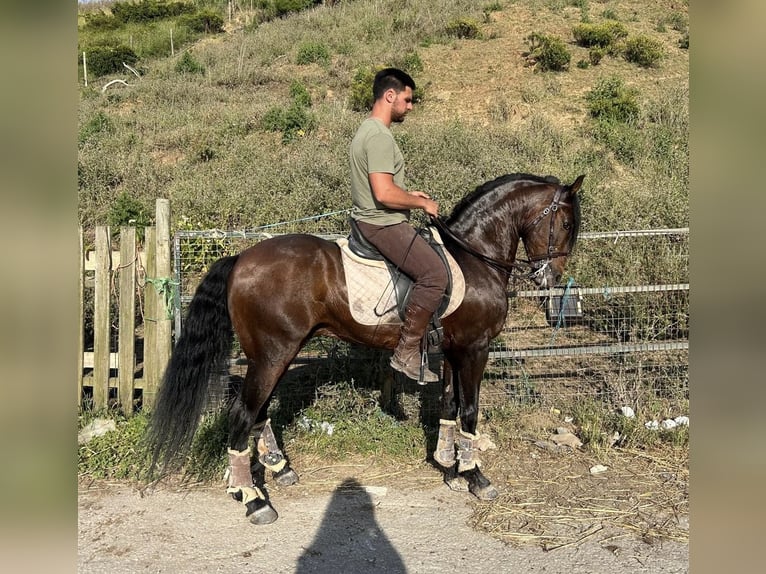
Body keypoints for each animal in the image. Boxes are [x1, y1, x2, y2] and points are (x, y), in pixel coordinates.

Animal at [147, 172, 584, 528]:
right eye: (564, 223)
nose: (550, 277)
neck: (473, 257)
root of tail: (241, 259)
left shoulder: (452, 350)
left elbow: (448, 405)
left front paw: (449, 469)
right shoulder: (474, 349)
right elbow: (471, 411)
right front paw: (475, 476)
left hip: (273, 354)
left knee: (258, 409)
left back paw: (279, 469)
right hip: (272, 354)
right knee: (242, 413)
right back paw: (254, 501)